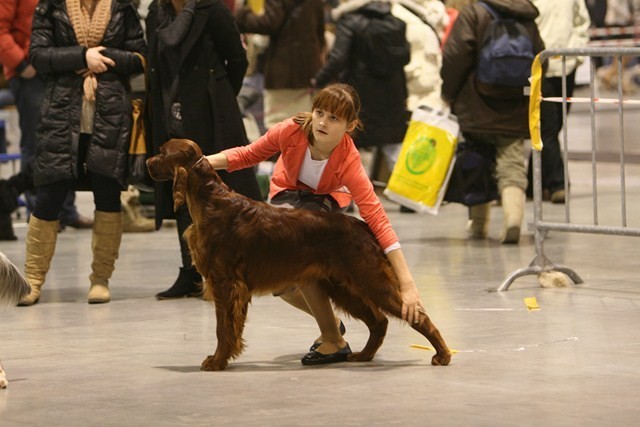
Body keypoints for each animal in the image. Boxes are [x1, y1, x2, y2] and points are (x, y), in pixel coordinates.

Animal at [148, 140, 452, 372]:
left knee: (415, 315)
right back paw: (363, 355)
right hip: (342, 286)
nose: (146, 163)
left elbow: (223, 329)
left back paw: (443, 354)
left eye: (162, 152)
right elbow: (230, 329)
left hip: (370, 280)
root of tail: (362, 226)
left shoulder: (225, 283)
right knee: (379, 321)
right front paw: (222, 358)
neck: (211, 201)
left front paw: (217, 361)